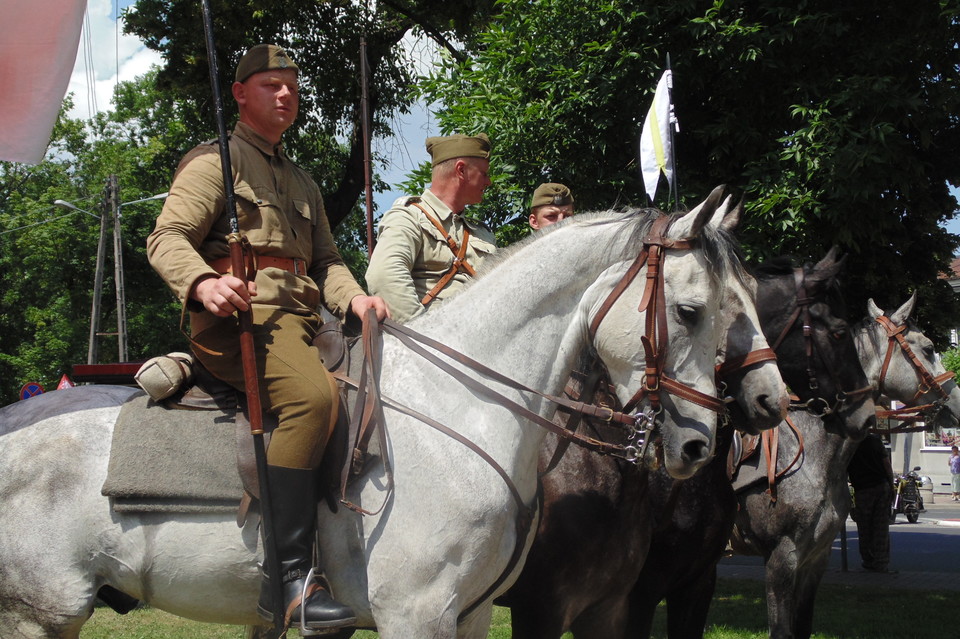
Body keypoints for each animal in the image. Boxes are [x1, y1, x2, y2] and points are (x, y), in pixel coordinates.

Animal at [0, 192, 780, 636]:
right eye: (693, 310)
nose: (698, 444)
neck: (462, 410)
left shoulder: (475, 614)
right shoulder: (420, 613)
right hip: (38, 615)